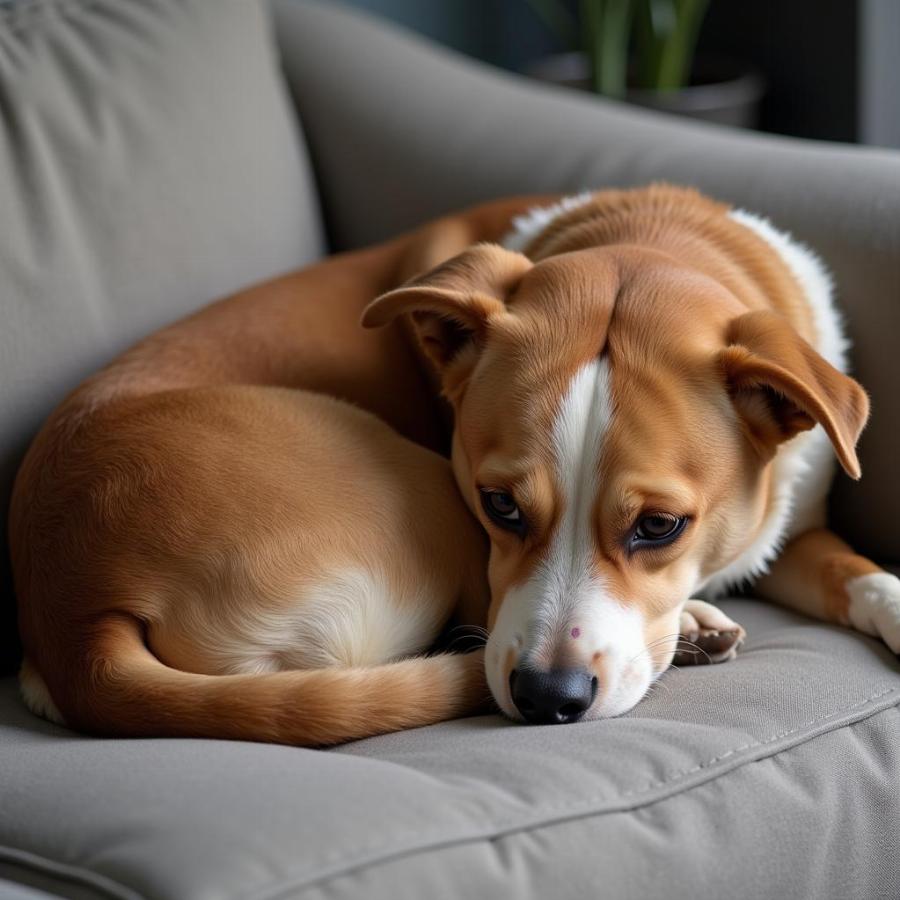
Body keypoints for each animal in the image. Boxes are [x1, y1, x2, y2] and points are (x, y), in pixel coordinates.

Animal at [8, 185, 900, 744]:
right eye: (499, 506)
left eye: (659, 527)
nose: (547, 700)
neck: (651, 230)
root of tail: (73, 617)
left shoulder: (793, 531)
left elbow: (855, 571)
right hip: (415, 486)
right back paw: (691, 628)